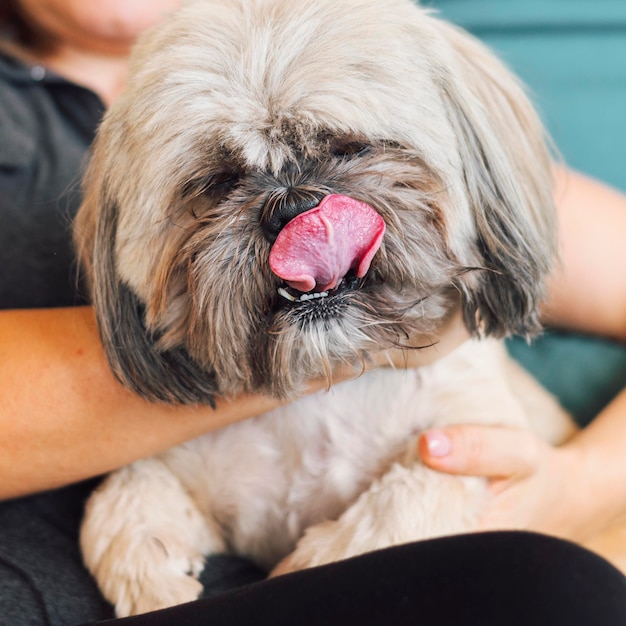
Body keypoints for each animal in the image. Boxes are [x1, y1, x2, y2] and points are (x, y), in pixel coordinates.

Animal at [74, 0, 576, 616]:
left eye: (349, 147)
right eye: (217, 182)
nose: (291, 206)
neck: (325, 388)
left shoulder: (465, 444)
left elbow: (395, 513)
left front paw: (306, 563)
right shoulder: (178, 464)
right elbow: (117, 503)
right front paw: (155, 581)